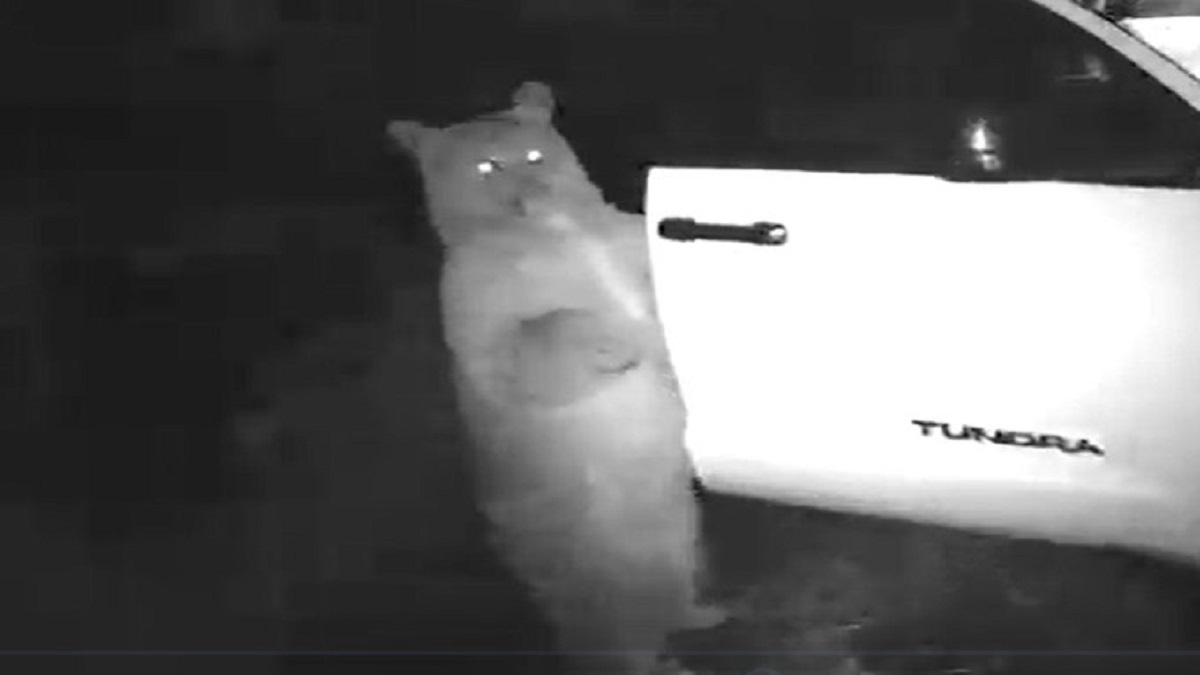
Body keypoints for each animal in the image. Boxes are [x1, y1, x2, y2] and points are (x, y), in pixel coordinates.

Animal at [387, 81, 726, 674]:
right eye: (487, 165)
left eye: (534, 155)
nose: (534, 191)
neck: (556, 233)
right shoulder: (484, 321)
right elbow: (544, 336)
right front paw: (619, 337)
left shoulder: (625, 241)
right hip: (593, 577)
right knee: (618, 642)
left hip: (677, 546)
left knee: (673, 597)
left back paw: (703, 615)